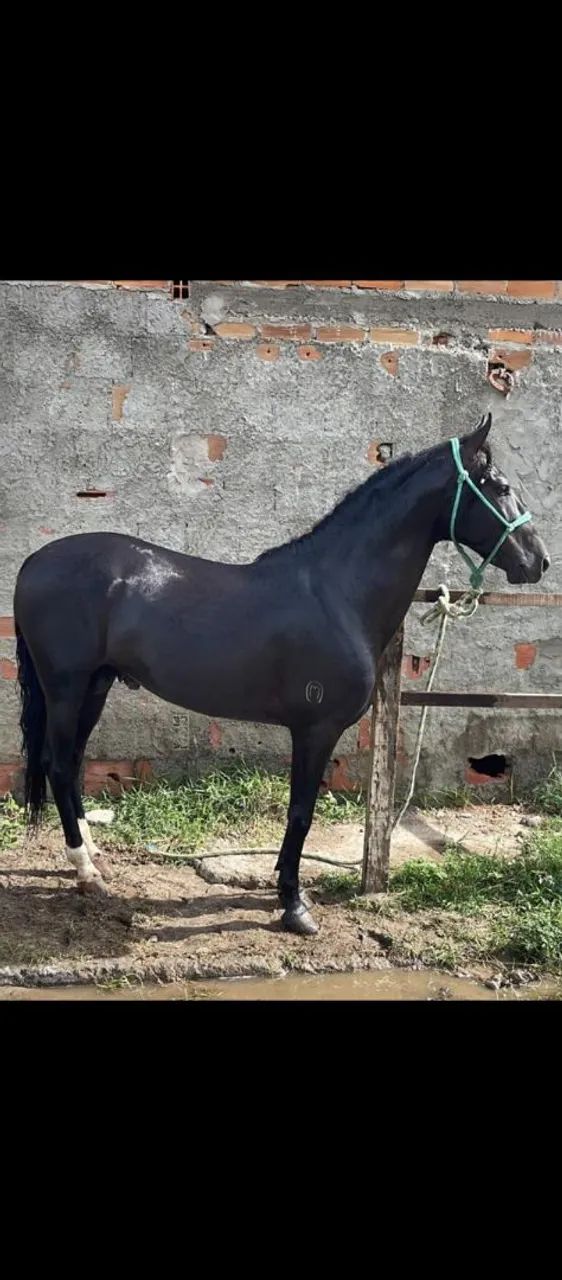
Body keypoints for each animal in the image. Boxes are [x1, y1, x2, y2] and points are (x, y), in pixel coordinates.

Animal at [13, 413, 550, 935]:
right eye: (500, 486)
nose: (539, 561)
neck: (338, 593)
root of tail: (32, 563)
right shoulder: (316, 729)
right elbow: (301, 813)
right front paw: (294, 906)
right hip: (65, 687)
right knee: (58, 765)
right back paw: (86, 872)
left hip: (96, 685)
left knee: (74, 764)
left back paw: (93, 854)